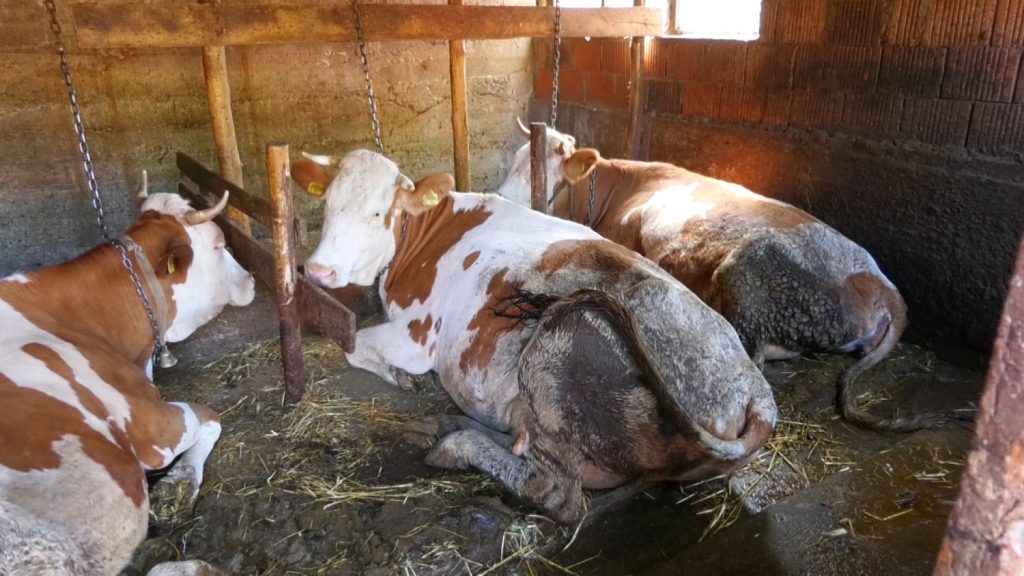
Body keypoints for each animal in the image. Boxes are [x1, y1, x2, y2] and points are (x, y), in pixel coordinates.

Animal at [292, 149, 776, 524]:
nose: (317, 270)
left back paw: (454, 444)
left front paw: (400, 377)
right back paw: (442, 424)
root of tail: (755, 390)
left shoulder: (416, 336)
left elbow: (354, 344)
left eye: (377, 213)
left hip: (559, 344)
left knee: (555, 492)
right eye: (327, 205)